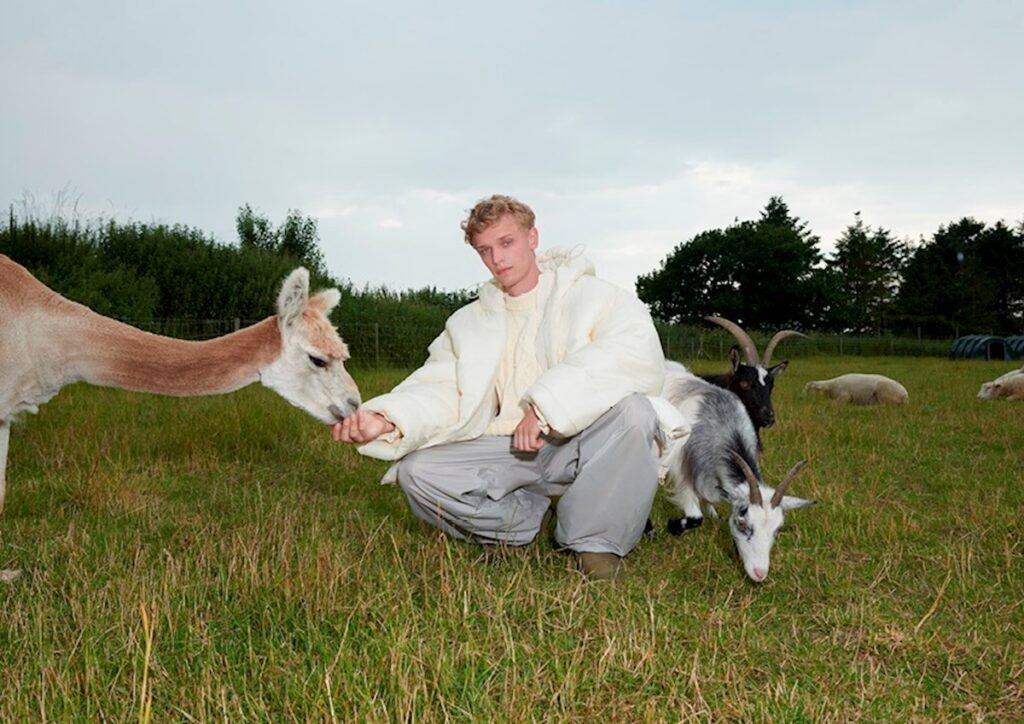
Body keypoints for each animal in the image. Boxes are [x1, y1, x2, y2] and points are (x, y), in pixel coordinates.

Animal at [660, 362, 815, 582]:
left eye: (777, 530)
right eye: (743, 524)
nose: (760, 573)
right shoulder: (683, 475)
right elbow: (695, 517)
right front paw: (673, 526)